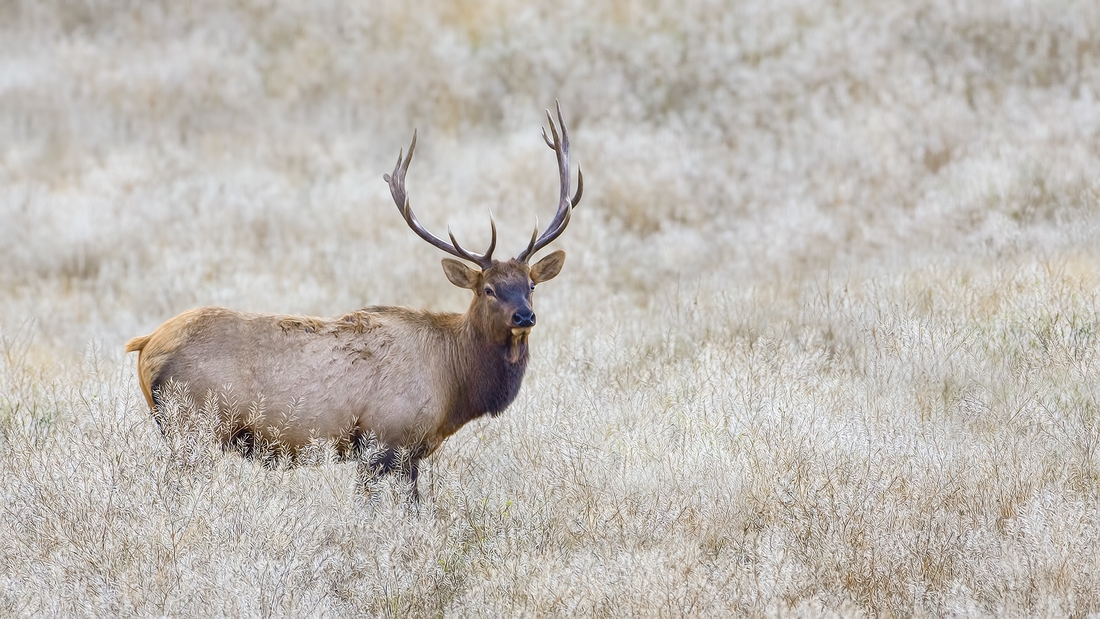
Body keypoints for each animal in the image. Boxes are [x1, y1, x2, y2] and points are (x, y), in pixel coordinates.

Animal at [126, 105, 585, 503]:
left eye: (530, 284)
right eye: (487, 289)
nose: (524, 316)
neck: (454, 381)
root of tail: (146, 344)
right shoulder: (387, 440)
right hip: (194, 426)